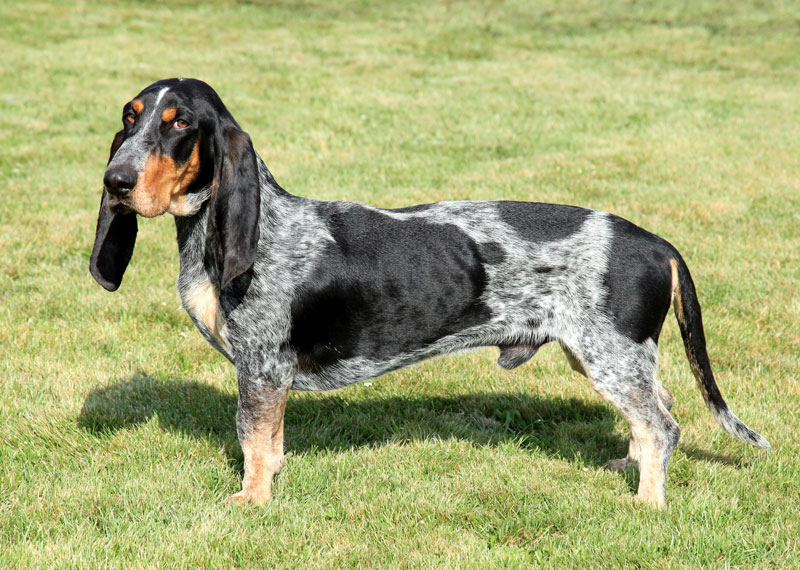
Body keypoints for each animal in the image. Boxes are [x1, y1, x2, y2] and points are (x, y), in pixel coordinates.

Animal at [90, 79, 772, 506]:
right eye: (129, 117)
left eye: (179, 125)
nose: (115, 180)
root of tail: (658, 243)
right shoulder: (268, 378)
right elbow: (272, 445)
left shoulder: (260, 370)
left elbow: (254, 444)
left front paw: (251, 502)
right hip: (608, 357)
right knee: (658, 411)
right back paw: (628, 471)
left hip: (611, 356)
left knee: (662, 426)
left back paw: (647, 504)